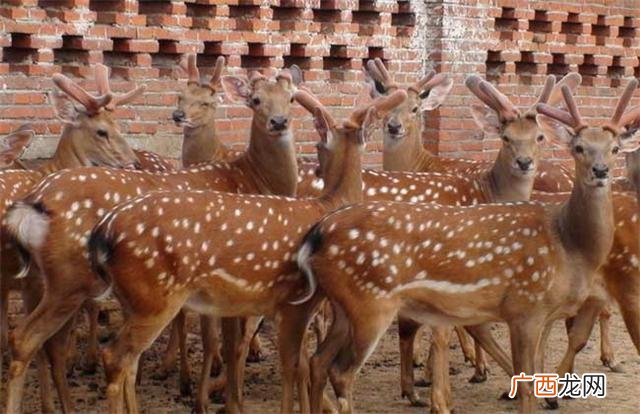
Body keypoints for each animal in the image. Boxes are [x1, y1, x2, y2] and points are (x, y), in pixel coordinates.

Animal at [2, 67, 303, 413]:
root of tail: (33, 202)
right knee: (35, 339)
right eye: (255, 100)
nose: (279, 122)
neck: (251, 179)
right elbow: (227, 344)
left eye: (291, 98)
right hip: (69, 278)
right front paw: (223, 401)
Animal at [294, 80, 640, 414]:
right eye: (579, 147)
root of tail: (318, 233)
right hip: (370, 303)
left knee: (317, 361)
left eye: (614, 148)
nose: (601, 171)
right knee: (340, 371)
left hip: (344, 306)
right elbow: (523, 377)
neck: (569, 245)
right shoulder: (525, 307)